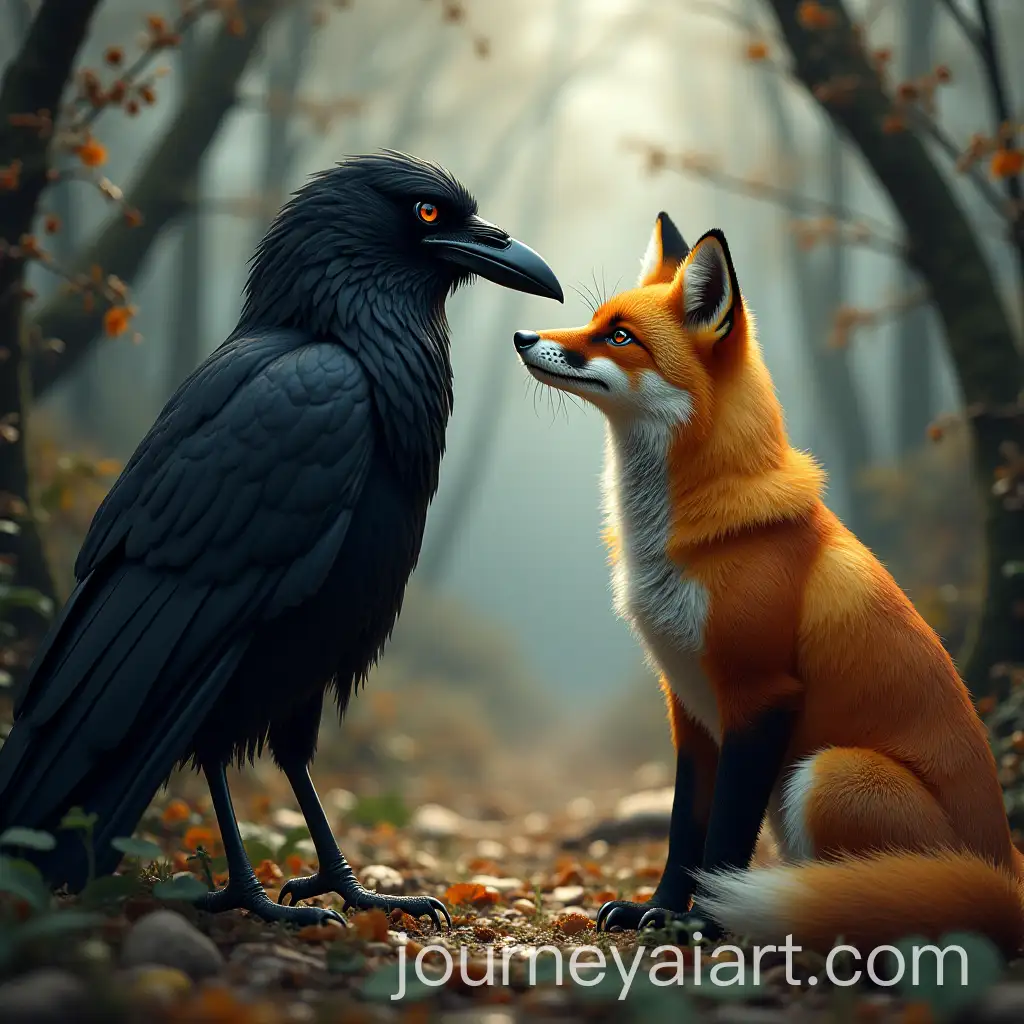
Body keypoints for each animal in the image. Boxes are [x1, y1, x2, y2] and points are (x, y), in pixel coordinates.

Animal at [512, 212, 1024, 954]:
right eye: (592, 320)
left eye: (620, 336)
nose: (523, 336)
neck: (676, 540)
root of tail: (1005, 870)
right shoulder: (689, 705)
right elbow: (684, 831)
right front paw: (659, 913)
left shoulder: (760, 695)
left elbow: (724, 837)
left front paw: (702, 925)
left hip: (826, 774)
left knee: (880, 907)